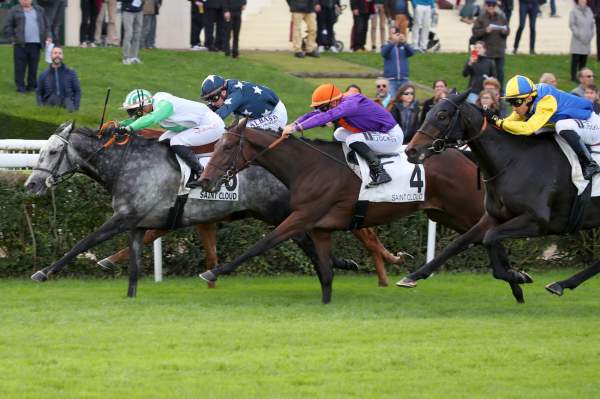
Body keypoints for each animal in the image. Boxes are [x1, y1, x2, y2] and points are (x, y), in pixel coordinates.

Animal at [25, 123, 406, 298]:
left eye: (52, 153)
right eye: (41, 151)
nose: (31, 184)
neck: (127, 163)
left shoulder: (124, 219)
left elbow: (83, 242)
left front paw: (43, 272)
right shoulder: (138, 222)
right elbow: (133, 264)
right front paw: (131, 295)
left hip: (284, 212)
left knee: (313, 240)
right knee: (310, 242)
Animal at [197, 120, 528, 304]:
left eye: (227, 148)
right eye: (217, 145)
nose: (205, 180)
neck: (309, 167)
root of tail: (465, 156)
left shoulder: (301, 217)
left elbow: (261, 244)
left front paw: (213, 271)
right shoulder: (320, 228)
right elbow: (326, 273)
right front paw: (327, 303)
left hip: (465, 208)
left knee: (488, 234)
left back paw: (515, 279)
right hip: (446, 214)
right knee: (485, 236)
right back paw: (516, 283)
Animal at [400, 91, 600, 296]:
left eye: (442, 115)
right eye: (428, 113)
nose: (411, 150)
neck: (512, 161)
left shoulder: (537, 221)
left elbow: (490, 238)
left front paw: (516, 276)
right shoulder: (493, 217)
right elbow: (457, 243)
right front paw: (412, 276)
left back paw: (562, 283)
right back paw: (562, 283)